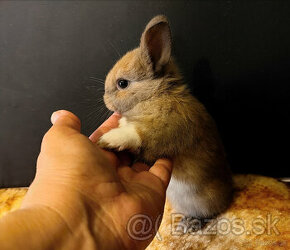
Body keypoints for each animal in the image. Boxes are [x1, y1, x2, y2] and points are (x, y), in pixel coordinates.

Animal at [98, 14, 232, 229]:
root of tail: (230, 193)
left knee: (211, 214)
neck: (155, 95)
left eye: (122, 83)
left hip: (206, 200)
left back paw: (189, 224)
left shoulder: (166, 128)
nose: (105, 100)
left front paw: (110, 139)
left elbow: (137, 135)